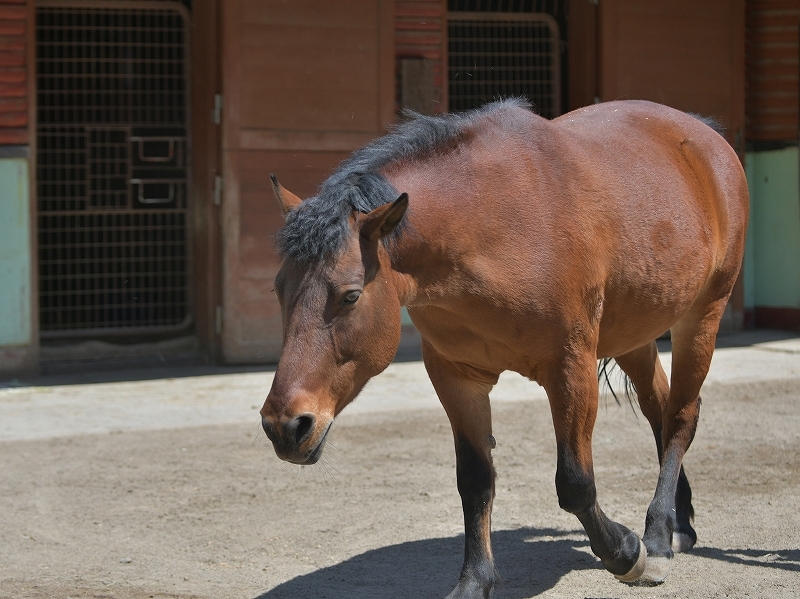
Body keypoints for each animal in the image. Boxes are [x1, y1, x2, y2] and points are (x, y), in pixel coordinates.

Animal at [260, 99, 752, 599]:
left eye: (350, 296)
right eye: (279, 289)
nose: (286, 426)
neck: (492, 223)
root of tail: (704, 135)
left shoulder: (570, 366)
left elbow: (575, 483)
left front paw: (626, 552)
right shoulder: (456, 377)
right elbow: (475, 482)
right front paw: (474, 582)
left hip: (702, 315)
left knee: (681, 418)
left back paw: (656, 538)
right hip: (633, 333)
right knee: (660, 411)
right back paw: (677, 525)